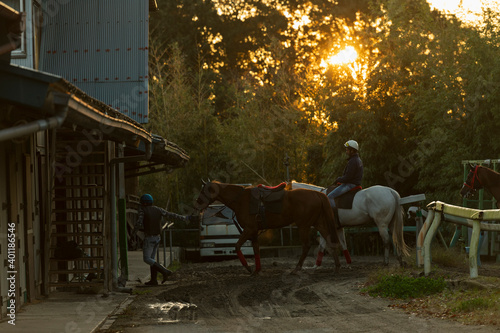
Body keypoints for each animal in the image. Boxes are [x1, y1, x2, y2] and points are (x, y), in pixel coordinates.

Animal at [193, 180, 342, 274]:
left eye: (204, 191)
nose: (196, 204)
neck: (241, 200)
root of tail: (317, 193)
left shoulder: (249, 229)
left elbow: (237, 246)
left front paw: (248, 267)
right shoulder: (253, 232)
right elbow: (256, 250)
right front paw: (257, 270)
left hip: (303, 226)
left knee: (306, 246)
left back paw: (296, 269)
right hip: (318, 223)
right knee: (330, 240)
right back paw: (337, 267)